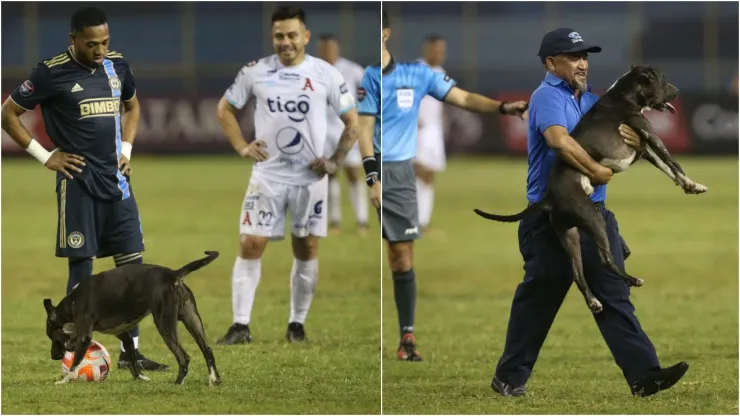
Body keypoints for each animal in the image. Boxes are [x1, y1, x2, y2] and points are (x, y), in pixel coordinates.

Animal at [43, 249, 221, 386]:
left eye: (54, 338)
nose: (53, 356)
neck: (73, 302)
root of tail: (173, 274)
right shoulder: (125, 335)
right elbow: (133, 360)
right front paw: (140, 377)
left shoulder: (84, 337)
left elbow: (75, 363)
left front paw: (64, 380)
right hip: (192, 320)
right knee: (207, 350)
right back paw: (214, 379)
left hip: (165, 325)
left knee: (184, 357)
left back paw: (178, 383)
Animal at [476, 65, 708, 314]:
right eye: (663, 81)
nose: (677, 91)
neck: (624, 95)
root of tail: (549, 197)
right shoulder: (648, 133)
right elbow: (673, 161)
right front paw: (691, 181)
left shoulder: (643, 147)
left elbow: (666, 167)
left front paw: (690, 185)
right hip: (593, 217)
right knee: (605, 258)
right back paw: (632, 279)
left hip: (568, 234)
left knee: (578, 273)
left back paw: (594, 301)